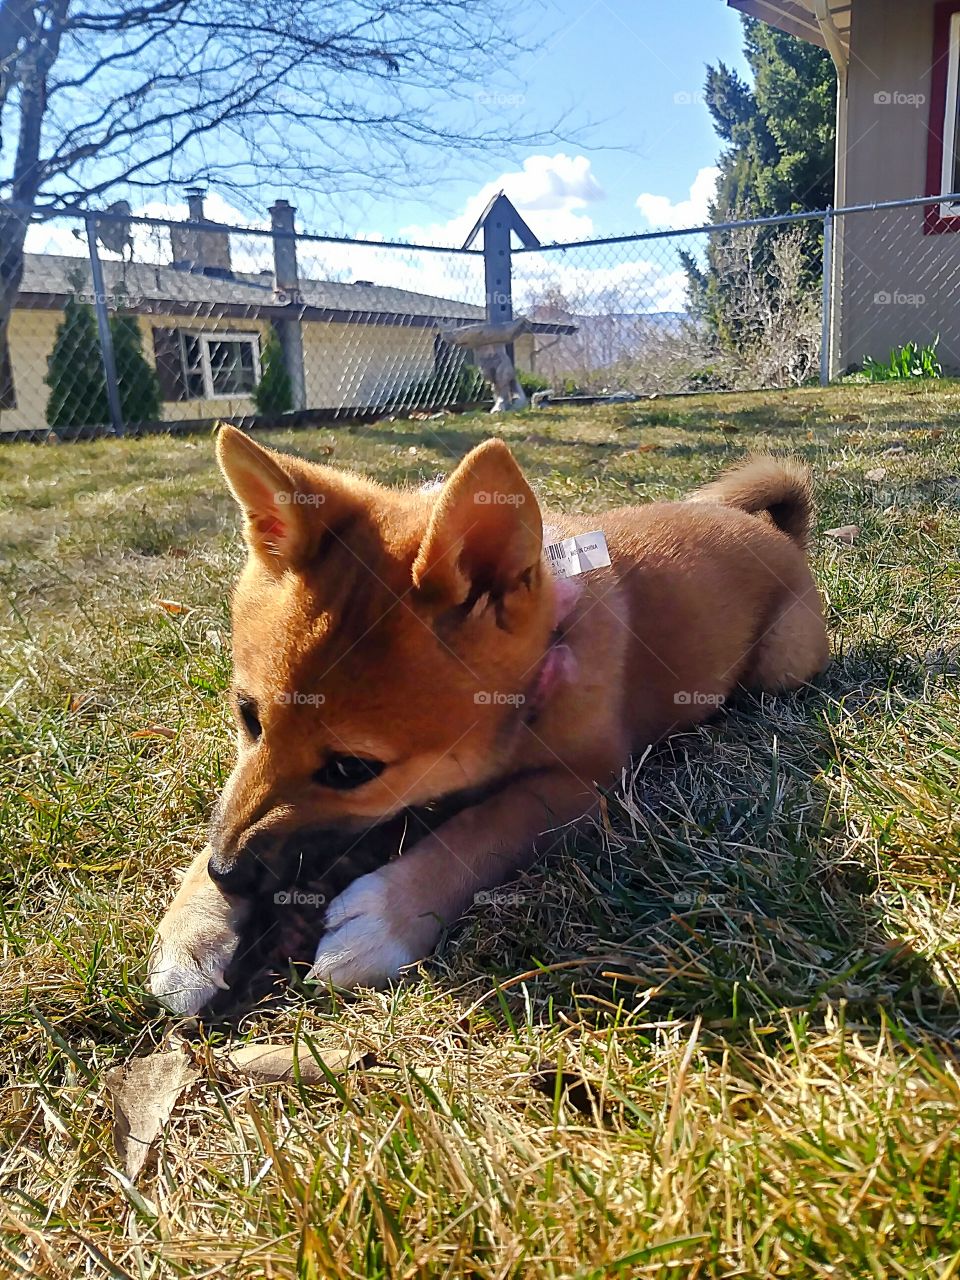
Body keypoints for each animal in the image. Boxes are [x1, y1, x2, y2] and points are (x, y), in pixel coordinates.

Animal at [146, 430, 829, 1008]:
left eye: (350, 769)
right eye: (247, 716)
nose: (229, 874)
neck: (550, 647)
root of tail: (774, 535)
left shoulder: (577, 788)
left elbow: (482, 829)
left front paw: (391, 911)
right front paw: (192, 928)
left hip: (781, 665)